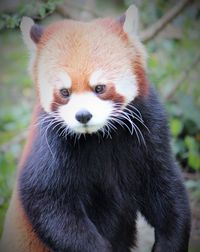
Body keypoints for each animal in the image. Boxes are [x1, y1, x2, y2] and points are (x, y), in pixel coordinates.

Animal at [0, 4, 190, 252]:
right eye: (64, 92)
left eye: (99, 88)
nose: (83, 115)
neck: (100, 136)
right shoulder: (49, 144)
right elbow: (49, 203)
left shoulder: (150, 130)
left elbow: (167, 190)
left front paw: (170, 242)